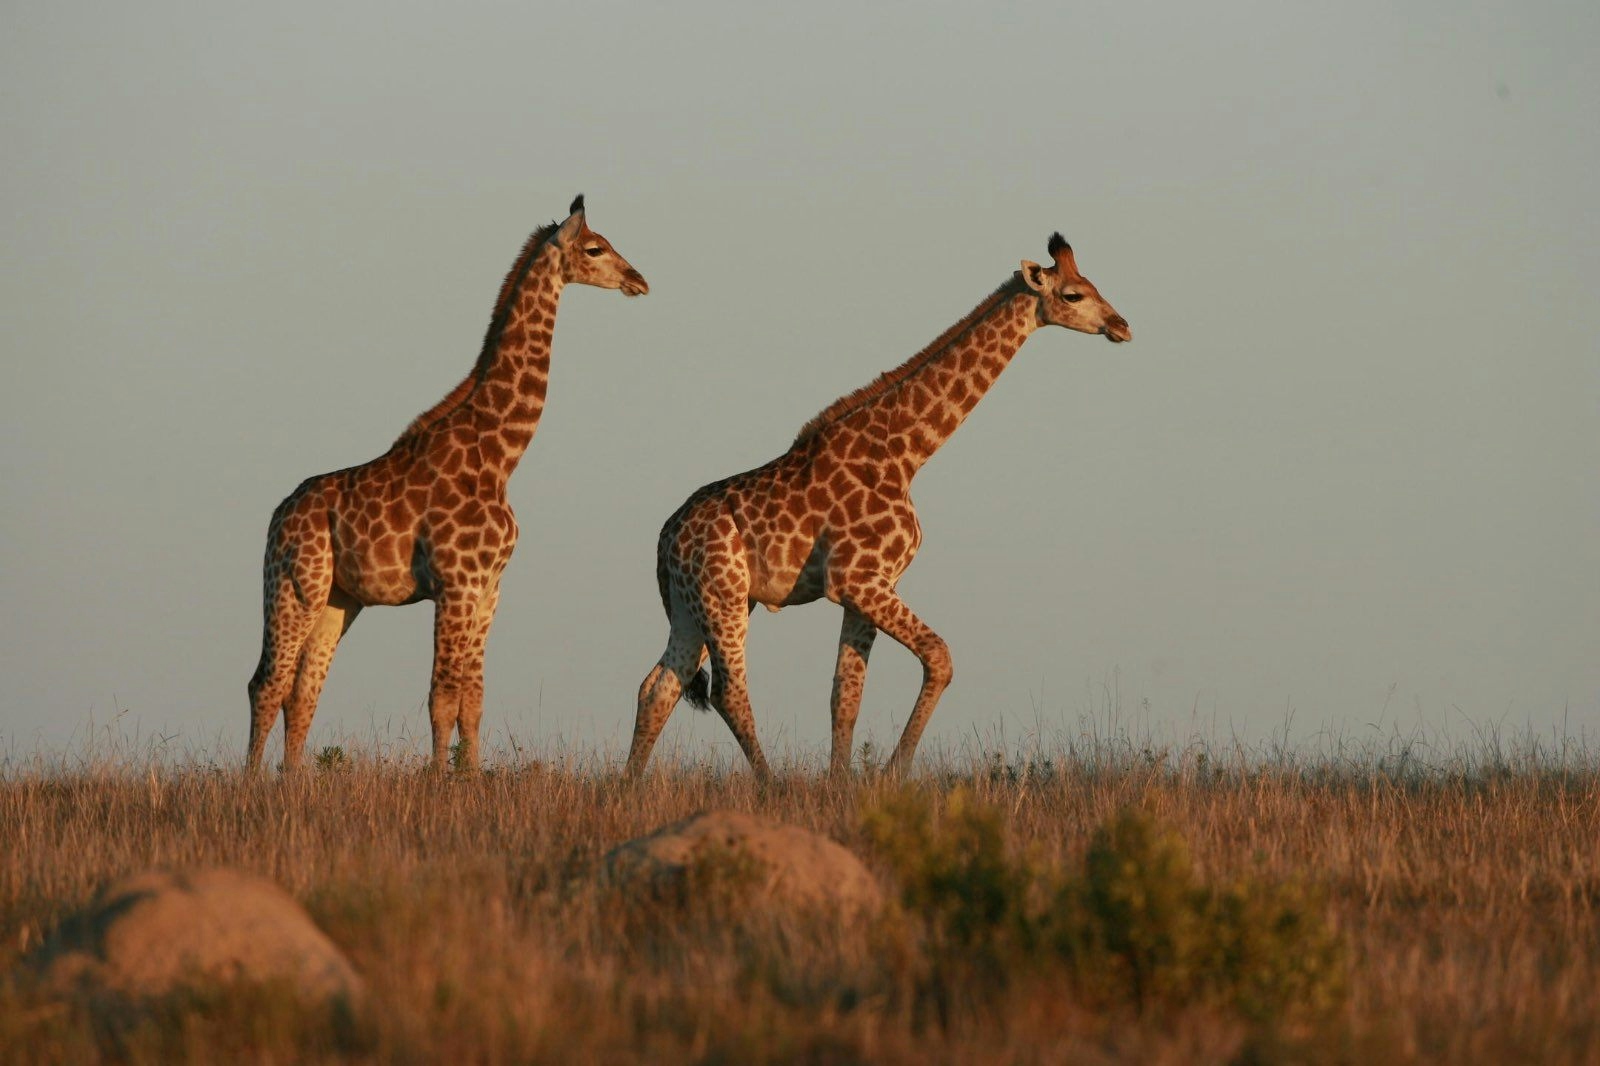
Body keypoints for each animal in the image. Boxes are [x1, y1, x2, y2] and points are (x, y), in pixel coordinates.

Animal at [246, 195, 646, 768]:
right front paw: (438, 779)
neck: (501, 456)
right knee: (266, 682)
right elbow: (442, 697)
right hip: (293, 585)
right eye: (595, 248)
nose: (640, 280)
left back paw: (292, 780)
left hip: (337, 599)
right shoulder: (454, 584)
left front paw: (471, 778)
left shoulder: (489, 588)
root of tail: (278, 518)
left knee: (303, 691)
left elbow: (472, 700)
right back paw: (255, 780)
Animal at [630, 232, 1132, 777]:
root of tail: (665, 539)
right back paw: (770, 784)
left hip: (695, 602)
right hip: (722, 595)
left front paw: (842, 783)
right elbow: (939, 656)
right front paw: (894, 771)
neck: (907, 453)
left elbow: (846, 694)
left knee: (659, 685)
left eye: (1094, 285)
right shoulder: (856, 579)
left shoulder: (870, 584)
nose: (1122, 325)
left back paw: (631, 785)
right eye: (1073, 295)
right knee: (726, 689)